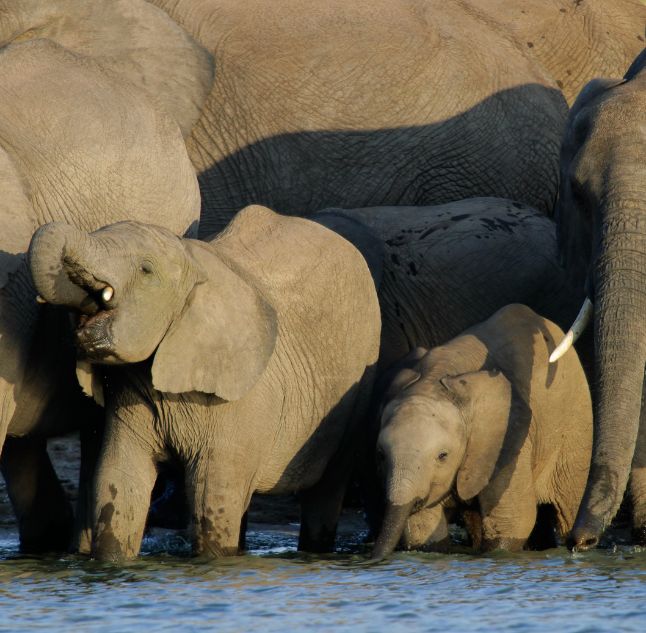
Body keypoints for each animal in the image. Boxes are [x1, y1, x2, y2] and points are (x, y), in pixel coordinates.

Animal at [27, 205, 381, 561]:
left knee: (326, 488)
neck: (193, 265)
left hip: (361, 379)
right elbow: (119, 484)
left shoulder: (240, 400)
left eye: (145, 270)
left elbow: (211, 498)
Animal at [371, 304, 593, 559]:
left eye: (443, 456)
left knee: (568, 506)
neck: (435, 379)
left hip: (576, 426)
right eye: (380, 455)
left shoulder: (509, 439)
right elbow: (423, 529)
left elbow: (512, 521)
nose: (373, 558)